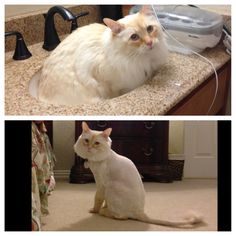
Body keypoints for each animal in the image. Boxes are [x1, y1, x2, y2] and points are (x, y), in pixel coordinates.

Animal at [73, 121, 203, 227]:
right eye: (86, 141)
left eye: (96, 143)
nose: (89, 148)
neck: (96, 159)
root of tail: (141, 212)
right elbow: (103, 201)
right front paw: (104, 206)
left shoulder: (101, 184)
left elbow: (97, 199)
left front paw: (94, 210)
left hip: (112, 187)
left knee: (122, 217)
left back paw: (103, 212)